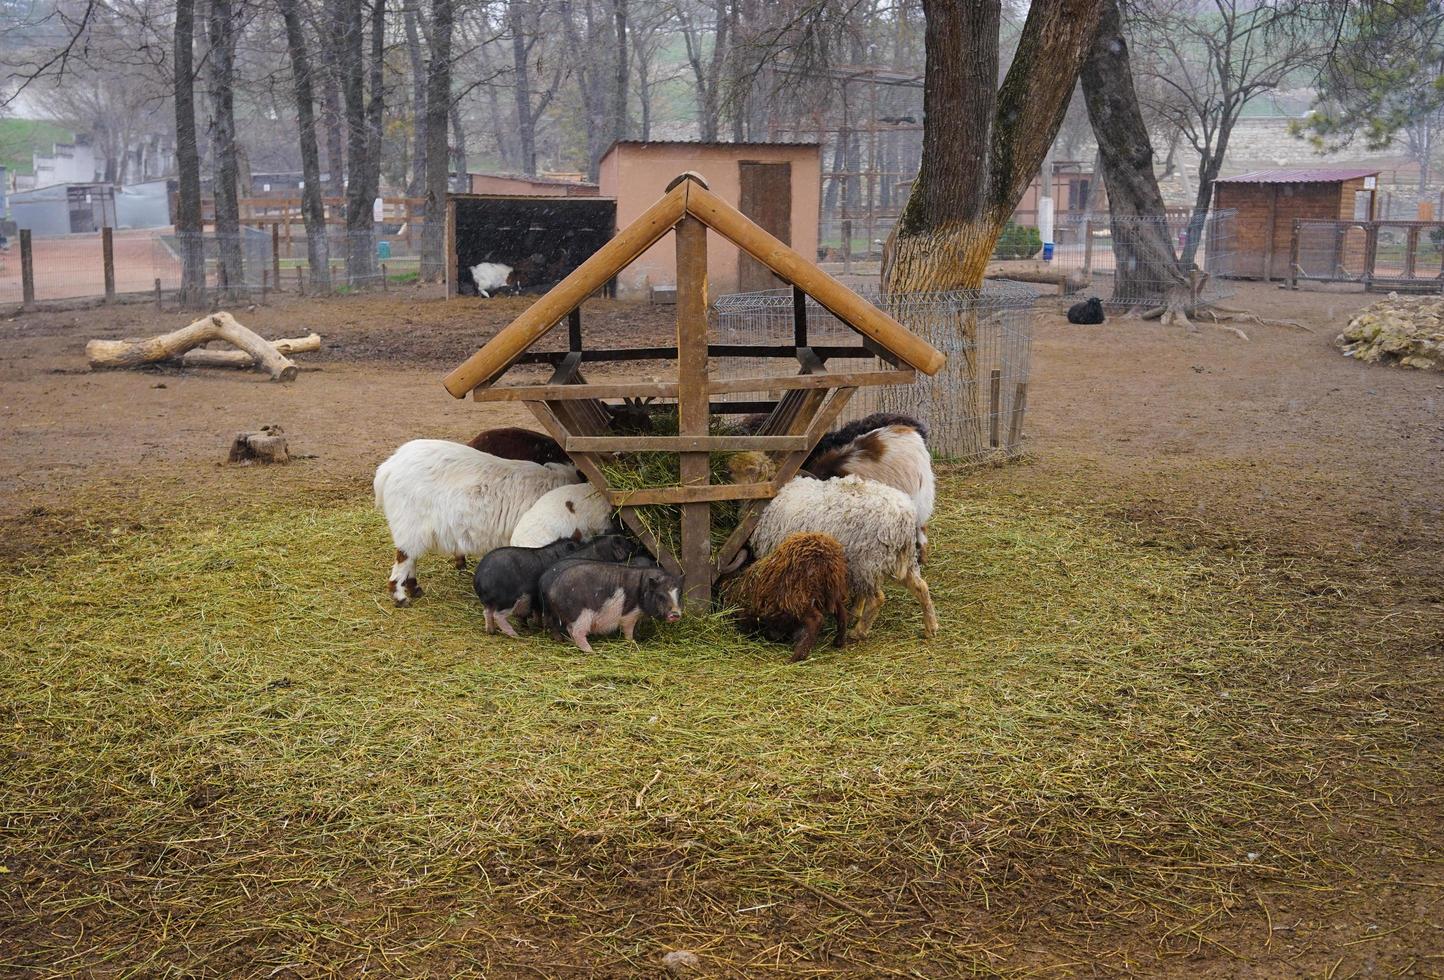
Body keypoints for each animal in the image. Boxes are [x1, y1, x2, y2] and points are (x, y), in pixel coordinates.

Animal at [372, 438, 580, 606]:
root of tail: (389, 467)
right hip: (408, 525)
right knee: (404, 559)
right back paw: (400, 597)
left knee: (411, 558)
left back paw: (414, 589)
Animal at [542, 562, 681, 655]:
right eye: (660, 596)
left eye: (679, 594)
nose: (675, 614)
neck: (642, 590)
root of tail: (551, 591)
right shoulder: (629, 615)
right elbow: (628, 630)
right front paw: (633, 642)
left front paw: (638, 637)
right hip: (582, 615)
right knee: (577, 632)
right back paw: (592, 651)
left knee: (570, 630)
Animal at [745, 476, 935, 643]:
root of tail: (904, 516)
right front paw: (854, 611)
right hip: (894, 560)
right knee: (921, 587)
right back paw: (930, 628)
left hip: (867, 559)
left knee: (877, 598)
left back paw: (858, 632)